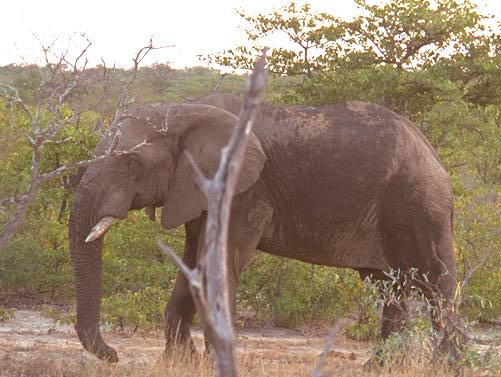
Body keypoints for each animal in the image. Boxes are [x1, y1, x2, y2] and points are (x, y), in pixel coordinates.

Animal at [69, 92, 458, 360]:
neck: (186, 110)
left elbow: (217, 263)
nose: (114, 355)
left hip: (419, 203)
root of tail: (435, 154)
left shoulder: (244, 192)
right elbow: (192, 264)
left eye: (130, 163)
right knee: (391, 285)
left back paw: (448, 364)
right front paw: (180, 362)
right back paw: (380, 366)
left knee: (436, 283)